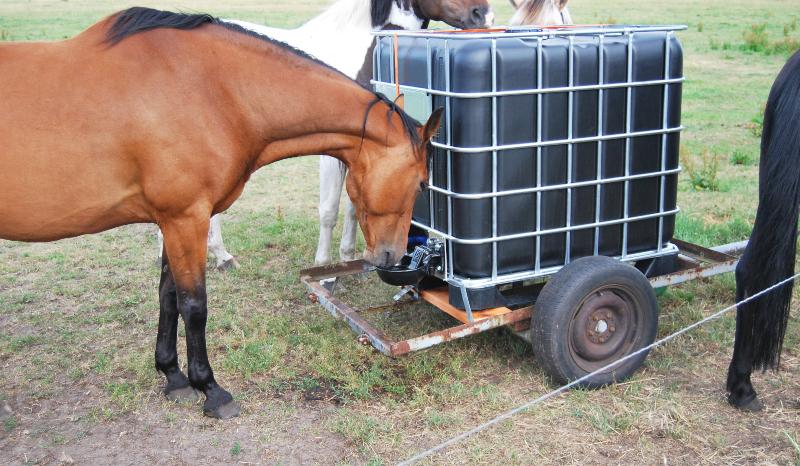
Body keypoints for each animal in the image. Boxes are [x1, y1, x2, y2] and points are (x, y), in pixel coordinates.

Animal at [0, 6, 440, 418]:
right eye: (422, 183)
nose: (392, 256)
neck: (213, 91)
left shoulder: (171, 221)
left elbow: (168, 296)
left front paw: (173, 377)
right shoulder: (186, 218)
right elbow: (194, 305)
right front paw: (209, 388)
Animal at [154, 0, 494, 268]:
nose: (484, 14)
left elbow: (355, 208)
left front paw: (347, 257)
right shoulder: (334, 153)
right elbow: (329, 211)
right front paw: (324, 266)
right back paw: (218, 255)